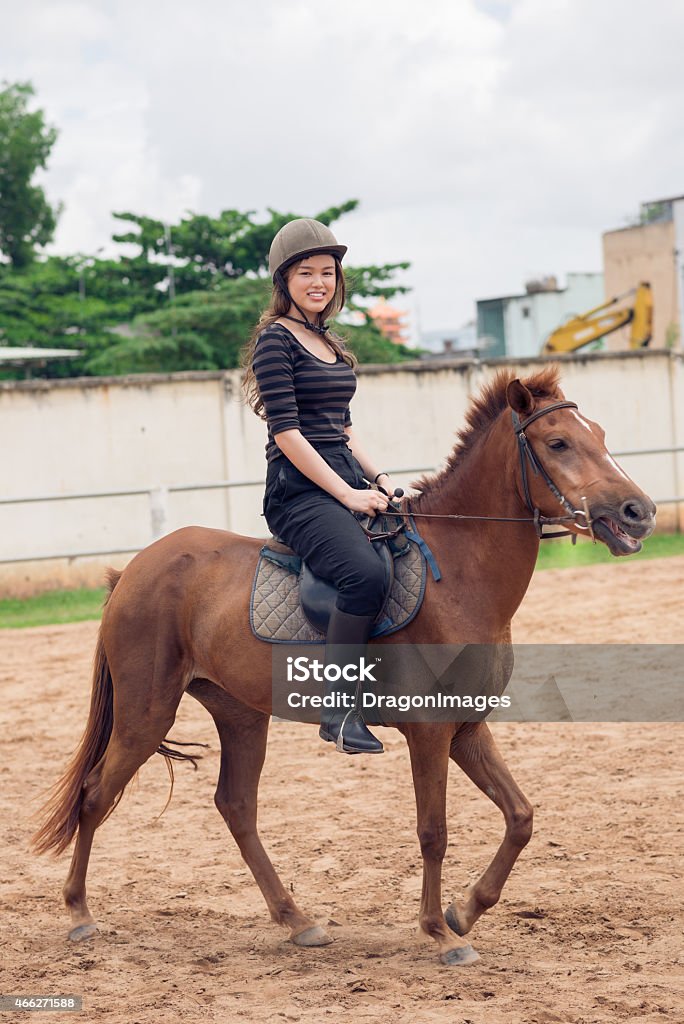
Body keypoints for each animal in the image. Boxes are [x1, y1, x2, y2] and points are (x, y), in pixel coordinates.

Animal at [33, 370, 655, 966]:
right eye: (558, 443)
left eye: (600, 436)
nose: (639, 512)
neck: (458, 573)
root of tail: (133, 571)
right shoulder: (430, 733)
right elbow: (434, 831)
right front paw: (439, 934)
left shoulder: (467, 728)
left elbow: (521, 817)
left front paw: (465, 910)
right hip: (146, 713)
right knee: (95, 794)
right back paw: (79, 913)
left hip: (239, 715)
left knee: (236, 807)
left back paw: (297, 921)